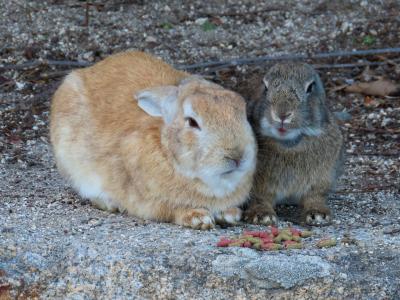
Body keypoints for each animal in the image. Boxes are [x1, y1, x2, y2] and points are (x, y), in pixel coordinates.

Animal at [50, 51, 256, 230]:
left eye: (243, 114)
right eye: (192, 122)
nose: (237, 156)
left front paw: (230, 214)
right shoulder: (149, 201)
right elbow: (170, 210)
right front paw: (198, 218)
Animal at [244, 62, 344, 225]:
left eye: (310, 88)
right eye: (265, 88)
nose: (282, 114)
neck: (289, 143)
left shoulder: (321, 179)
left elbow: (314, 196)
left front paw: (318, 214)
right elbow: (259, 198)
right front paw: (261, 215)